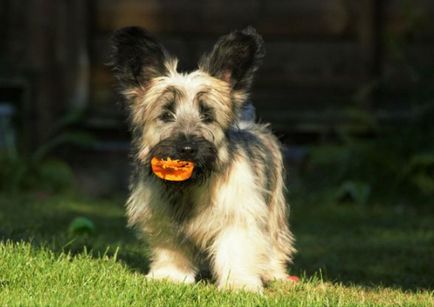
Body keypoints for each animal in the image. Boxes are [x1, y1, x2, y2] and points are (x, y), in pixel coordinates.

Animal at [110, 27, 296, 294]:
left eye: (207, 115)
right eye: (166, 114)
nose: (188, 148)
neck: (190, 185)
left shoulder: (238, 214)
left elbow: (236, 249)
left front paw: (239, 284)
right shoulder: (163, 217)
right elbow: (171, 248)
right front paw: (170, 275)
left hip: (274, 207)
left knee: (275, 239)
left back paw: (273, 271)